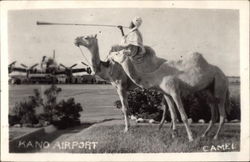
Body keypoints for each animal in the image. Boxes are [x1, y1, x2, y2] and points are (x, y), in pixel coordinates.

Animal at [73, 34, 230, 142]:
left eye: (86, 37)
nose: (75, 39)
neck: (107, 69)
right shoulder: (166, 91)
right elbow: (173, 112)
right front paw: (175, 134)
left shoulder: (121, 86)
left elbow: (125, 108)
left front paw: (126, 129)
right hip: (207, 90)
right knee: (211, 110)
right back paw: (201, 134)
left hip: (219, 87)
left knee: (220, 112)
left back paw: (213, 136)